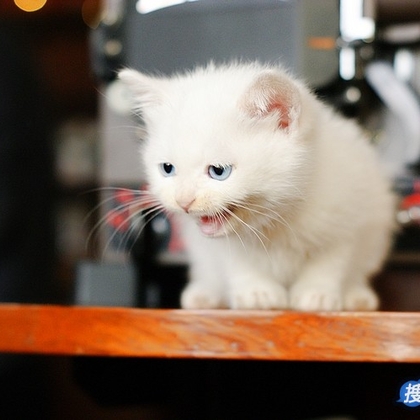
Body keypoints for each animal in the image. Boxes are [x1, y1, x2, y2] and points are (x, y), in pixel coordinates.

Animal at [119, 62, 398, 312]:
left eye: (219, 171)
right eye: (167, 169)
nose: (183, 201)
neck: (277, 220)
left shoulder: (348, 215)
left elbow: (330, 261)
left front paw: (317, 294)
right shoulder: (220, 245)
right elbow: (237, 262)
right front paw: (257, 292)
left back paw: (356, 295)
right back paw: (205, 293)